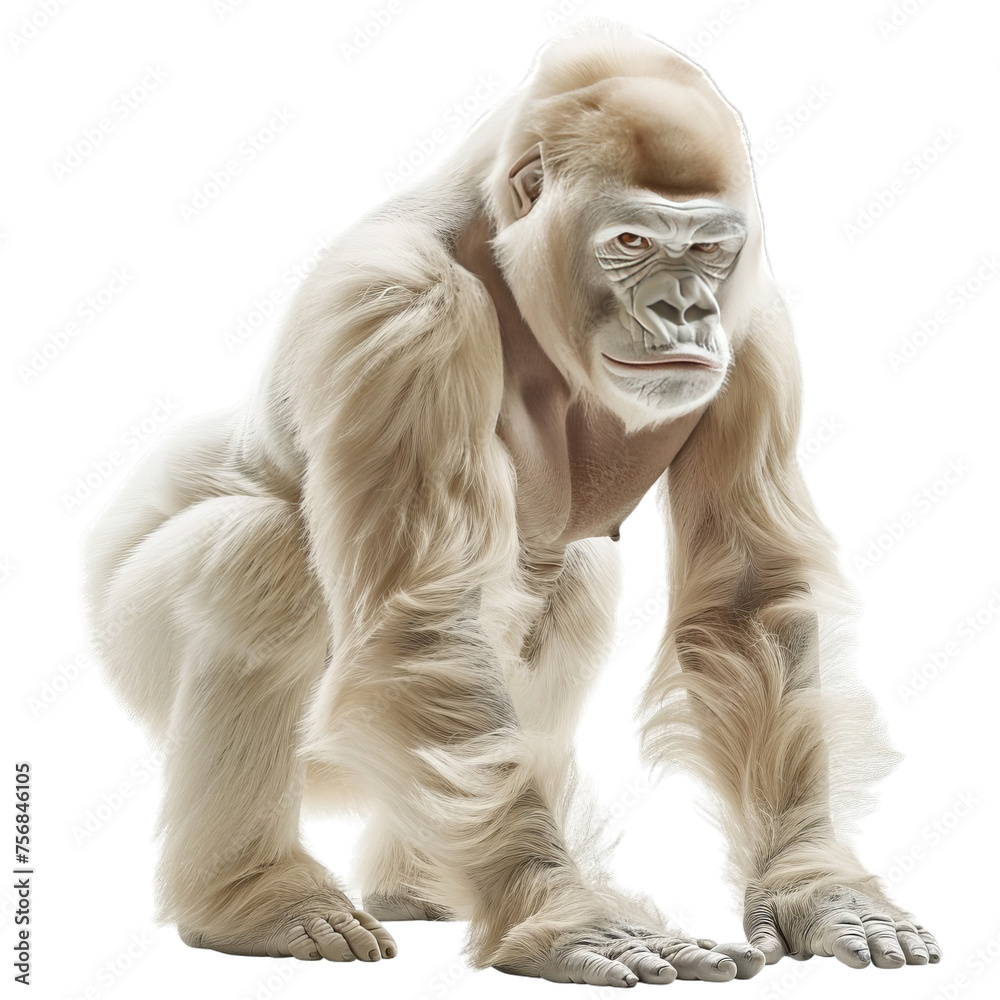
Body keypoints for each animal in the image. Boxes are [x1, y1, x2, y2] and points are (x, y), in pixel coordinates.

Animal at [83, 20, 940, 987]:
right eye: (632, 242)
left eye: (708, 249)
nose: (686, 308)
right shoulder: (402, 312)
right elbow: (421, 620)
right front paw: (565, 913)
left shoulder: (756, 332)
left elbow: (747, 600)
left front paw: (813, 884)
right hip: (128, 634)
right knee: (259, 561)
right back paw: (260, 899)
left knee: (572, 590)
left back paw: (420, 882)